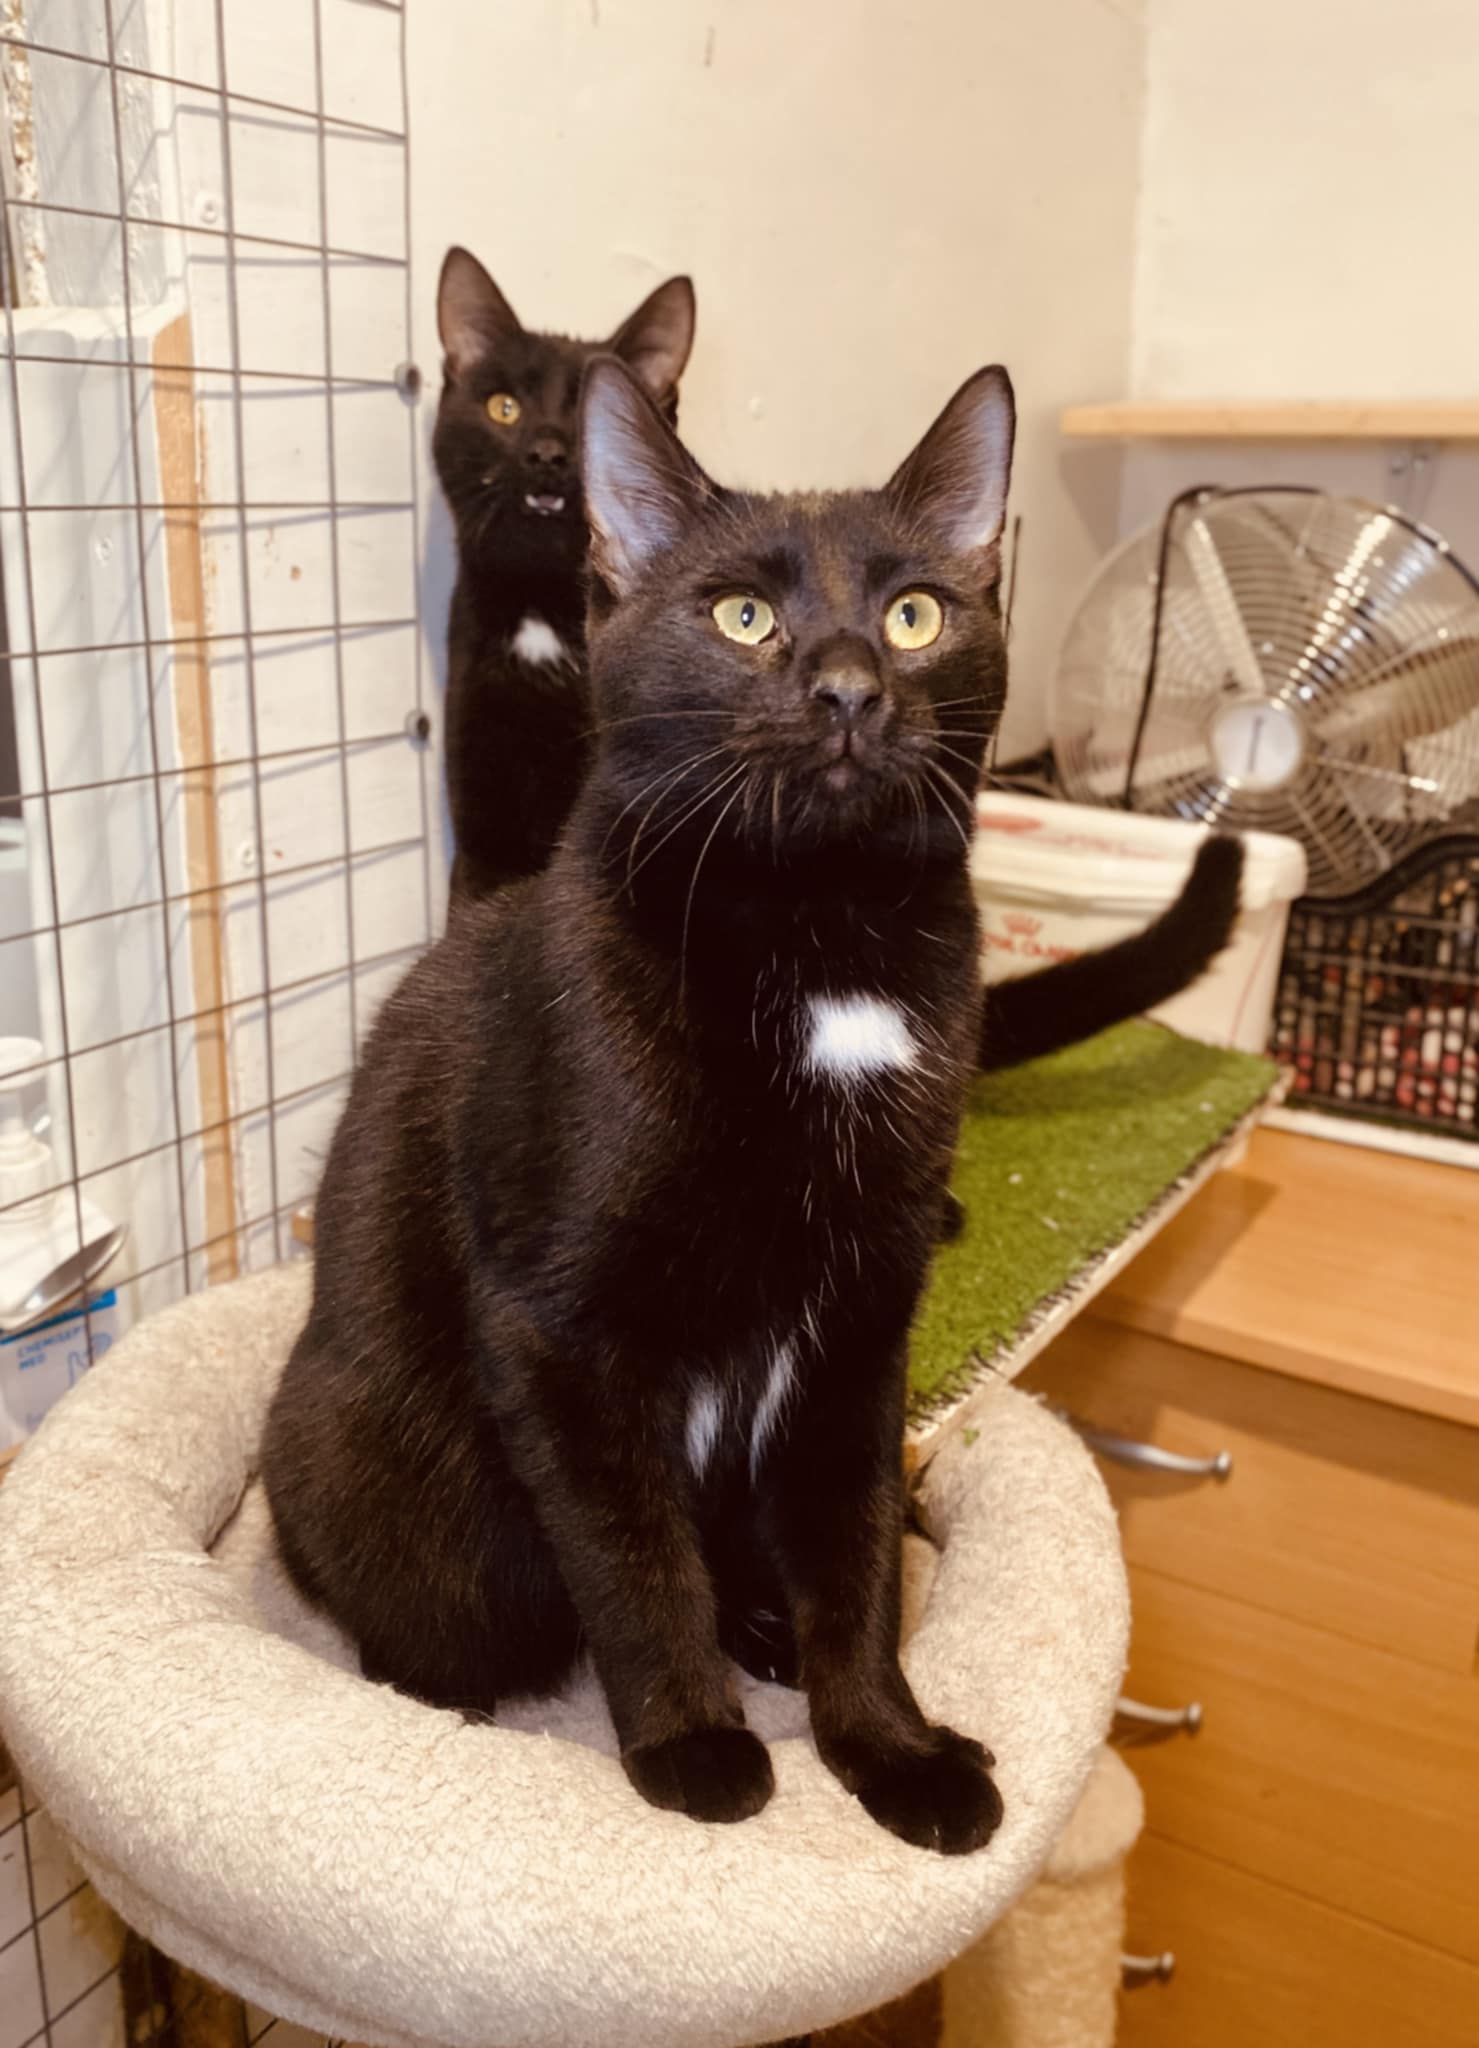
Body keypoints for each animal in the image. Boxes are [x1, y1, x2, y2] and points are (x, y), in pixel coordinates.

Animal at [264, 351, 1023, 1855]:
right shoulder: (561, 1332)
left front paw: (889, 1746)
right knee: (424, 1614)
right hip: (355, 1450)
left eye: (914, 614)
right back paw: (448, 1695)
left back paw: (766, 1629)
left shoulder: (865, 1322)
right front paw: (690, 1743)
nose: (848, 688)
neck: (819, 945)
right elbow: (631, 1556)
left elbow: (857, 1549)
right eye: (741, 614)